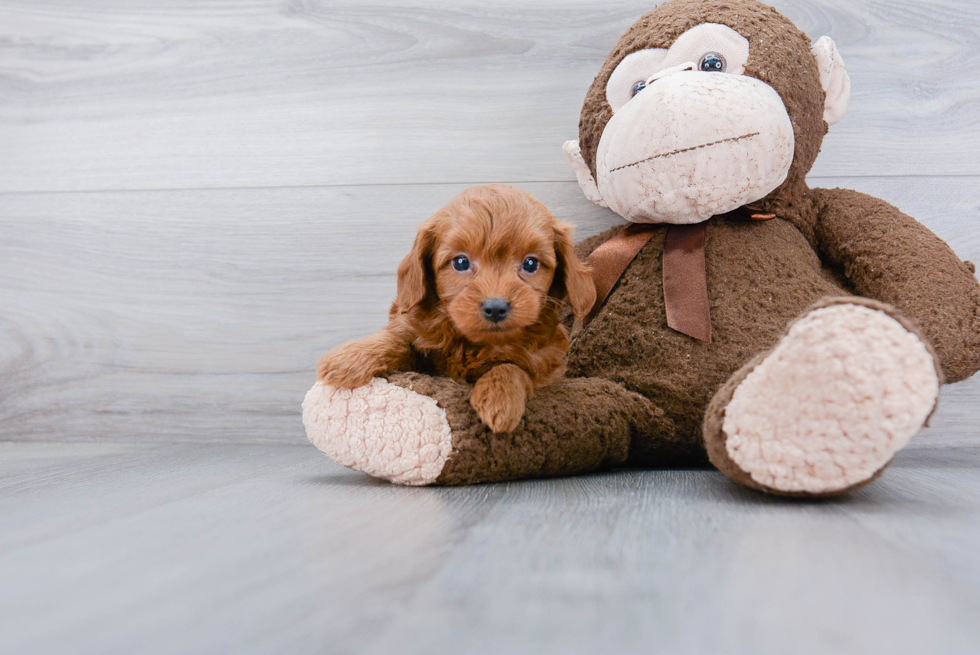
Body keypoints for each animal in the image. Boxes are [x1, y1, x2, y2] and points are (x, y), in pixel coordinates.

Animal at [322, 182, 596, 434]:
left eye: (530, 264)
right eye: (461, 262)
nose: (495, 307)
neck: (475, 344)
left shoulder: (547, 364)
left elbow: (516, 366)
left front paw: (500, 398)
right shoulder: (415, 333)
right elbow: (397, 340)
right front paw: (348, 358)